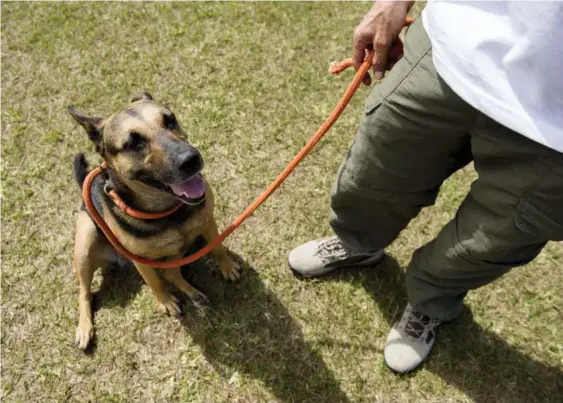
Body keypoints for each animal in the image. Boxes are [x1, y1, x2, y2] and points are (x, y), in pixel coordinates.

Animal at [68, 93, 240, 352]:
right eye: (133, 143)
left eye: (170, 120)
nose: (191, 160)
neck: (167, 211)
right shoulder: (142, 261)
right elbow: (154, 282)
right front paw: (165, 302)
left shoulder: (207, 222)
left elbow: (218, 248)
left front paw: (227, 267)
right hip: (86, 242)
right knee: (84, 293)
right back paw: (84, 327)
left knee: (171, 273)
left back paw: (194, 293)